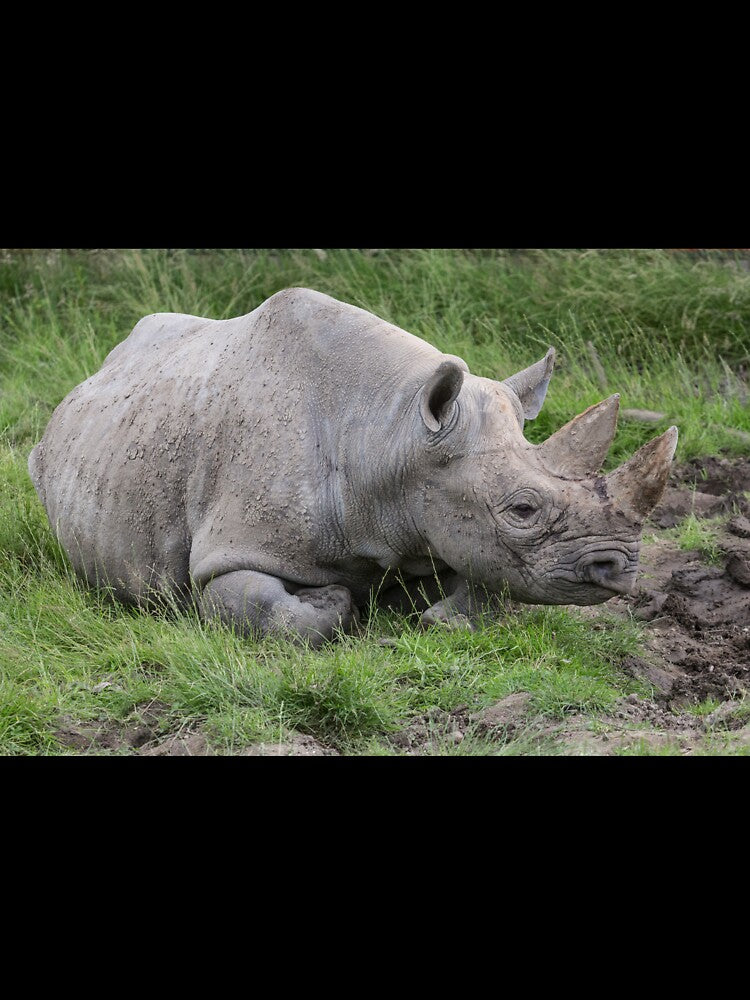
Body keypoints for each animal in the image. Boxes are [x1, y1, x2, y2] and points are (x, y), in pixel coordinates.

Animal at [28, 287, 677, 645]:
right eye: (522, 509)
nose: (620, 569)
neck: (391, 438)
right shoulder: (231, 552)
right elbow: (263, 609)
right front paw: (336, 601)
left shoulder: (448, 521)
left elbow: (486, 592)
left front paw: (430, 616)